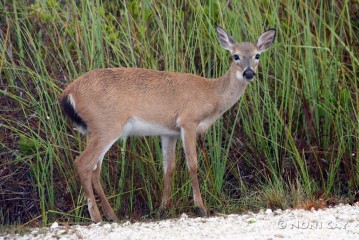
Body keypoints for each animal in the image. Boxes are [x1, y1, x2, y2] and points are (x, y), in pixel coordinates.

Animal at [60, 25, 278, 222]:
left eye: (257, 55)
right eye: (236, 56)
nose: (248, 73)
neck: (212, 94)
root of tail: (69, 93)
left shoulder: (169, 132)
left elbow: (168, 167)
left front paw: (164, 208)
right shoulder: (188, 120)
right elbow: (192, 163)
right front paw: (200, 207)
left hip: (96, 130)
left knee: (95, 170)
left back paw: (111, 215)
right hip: (107, 126)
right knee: (83, 163)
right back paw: (97, 217)